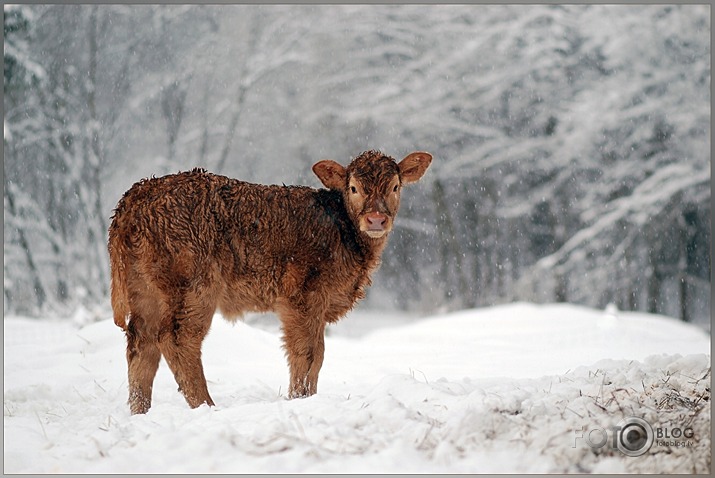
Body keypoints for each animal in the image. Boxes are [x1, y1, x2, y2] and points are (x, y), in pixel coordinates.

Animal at [106, 150, 430, 414]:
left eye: (395, 186)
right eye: (354, 188)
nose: (376, 219)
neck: (342, 230)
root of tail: (138, 194)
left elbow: (317, 355)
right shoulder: (302, 296)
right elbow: (308, 354)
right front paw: (300, 399)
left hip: (145, 290)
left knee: (141, 344)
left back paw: (140, 412)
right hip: (193, 286)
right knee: (176, 338)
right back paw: (207, 407)